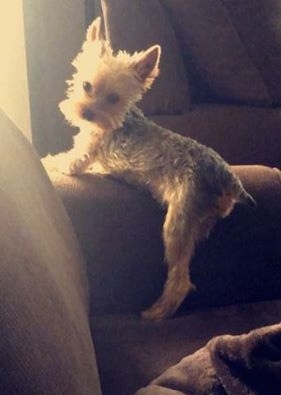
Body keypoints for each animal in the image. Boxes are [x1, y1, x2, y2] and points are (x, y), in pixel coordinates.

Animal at [43, 17, 254, 322]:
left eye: (113, 98)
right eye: (86, 85)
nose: (87, 113)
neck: (118, 118)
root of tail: (229, 180)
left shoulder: (80, 156)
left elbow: (61, 161)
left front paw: (46, 161)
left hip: (177, 220)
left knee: (180, 281)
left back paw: (156, 313)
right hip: (200, 220)